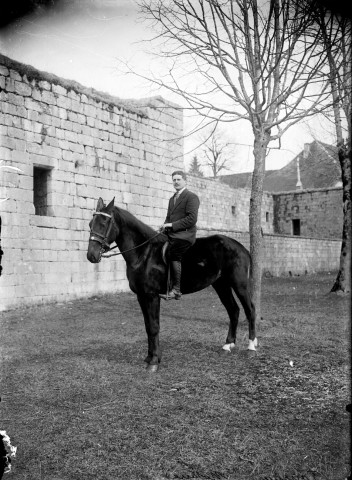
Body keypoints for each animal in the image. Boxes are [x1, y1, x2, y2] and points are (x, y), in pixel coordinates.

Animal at [86, 197, 258, 374]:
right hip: (221, 285)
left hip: (240, 285)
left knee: (250, 310)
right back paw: (228, 345)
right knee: (233, 310)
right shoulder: (141, 296)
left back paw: (251, 347)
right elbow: (148, 326)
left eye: (104, 223)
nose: (91, 255)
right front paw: (149, 358)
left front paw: (154, 361)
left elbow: (154, 327)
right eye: (91, 223)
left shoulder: (152, 296)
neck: (144, 254)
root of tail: (241, 247)